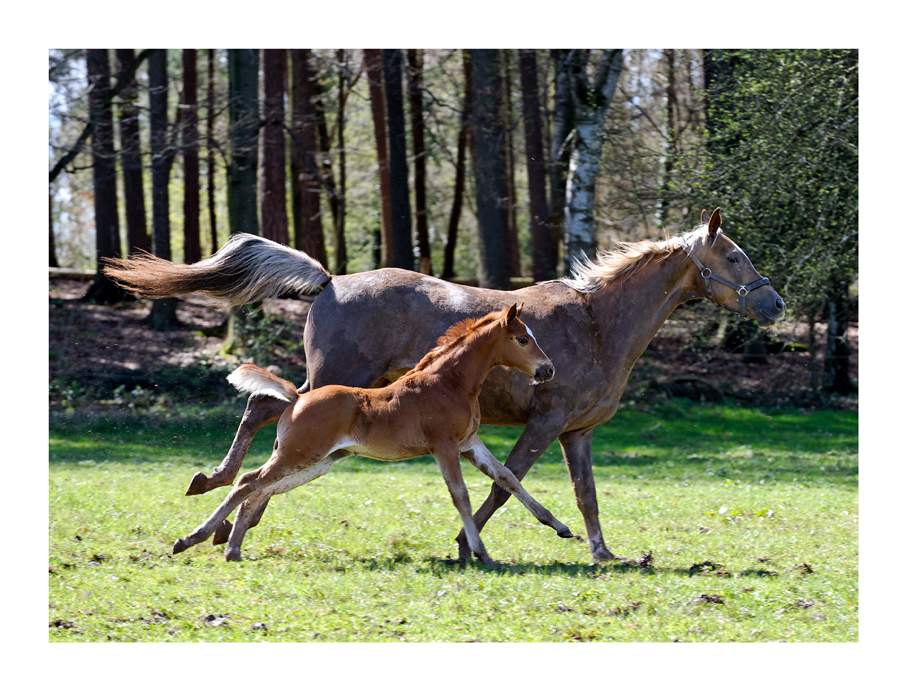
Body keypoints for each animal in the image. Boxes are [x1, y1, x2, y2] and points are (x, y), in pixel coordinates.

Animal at [173, 306, 572, 564]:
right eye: (522, 339)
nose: (549, 369)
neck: (449, 383)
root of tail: (298, 399)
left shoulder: (468, 444)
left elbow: (508, 478)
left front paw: (559, 526)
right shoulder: (444, 446)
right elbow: (460, 495)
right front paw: (480, 552)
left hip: (316, 461)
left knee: (260, 488)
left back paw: (231, 548)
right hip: (299, 454)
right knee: (247, 482)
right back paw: (191, 538)